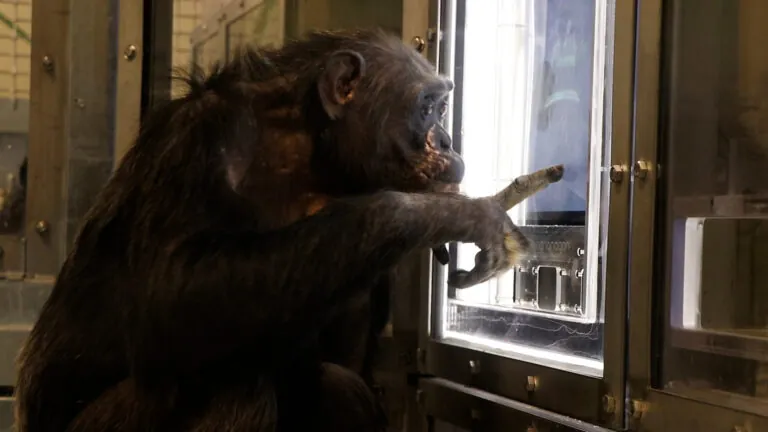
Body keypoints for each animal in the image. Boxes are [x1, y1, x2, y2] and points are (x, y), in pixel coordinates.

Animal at [15, 28, 548, 430]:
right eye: (428, 106)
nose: (448, 139)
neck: (307, 152)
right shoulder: (197, 141)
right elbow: (170, 292)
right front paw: (450, 212)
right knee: (234, 383)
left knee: (337, 386)